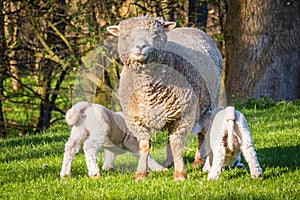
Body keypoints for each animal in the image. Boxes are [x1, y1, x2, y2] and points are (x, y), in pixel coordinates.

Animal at [106, 15, 221, 180]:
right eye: (125, 36)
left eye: (155, 34)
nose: (140, 47)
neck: (149, 91)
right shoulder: (136, 119)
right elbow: (144, 145)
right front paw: (141, 174)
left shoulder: (183, 115)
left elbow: (176, 143)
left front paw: (180, 174)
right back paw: (170, 161)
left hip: (209, 103)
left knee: (202, 134)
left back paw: (198, 161)